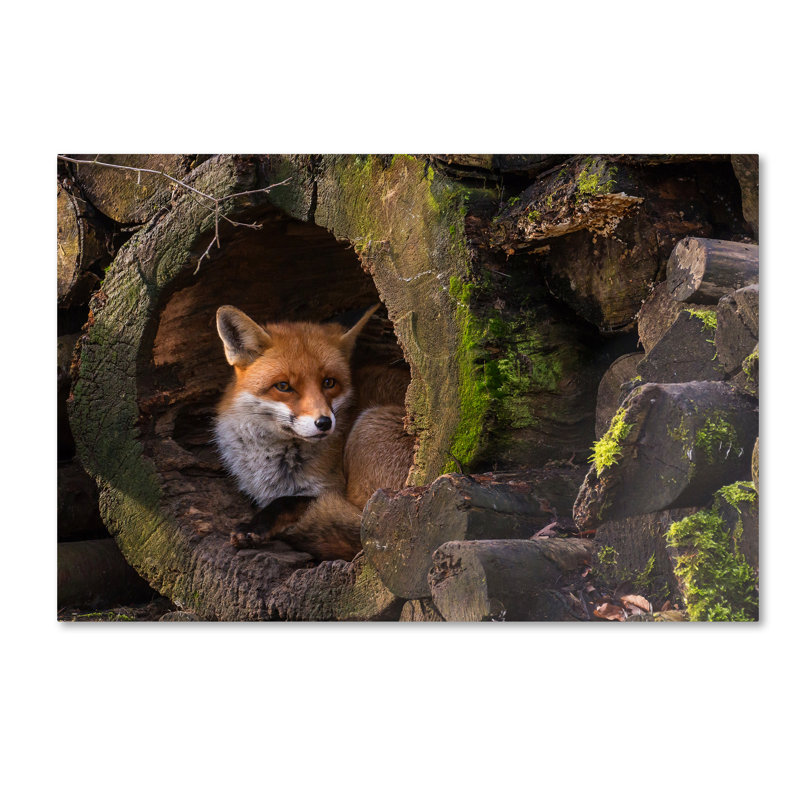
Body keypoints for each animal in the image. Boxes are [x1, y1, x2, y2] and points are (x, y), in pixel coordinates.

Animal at [214, 303, 414, 561]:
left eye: (329, 382)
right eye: (283, 386)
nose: (324, 423)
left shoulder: (329, 489)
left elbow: (287, 502)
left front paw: (254, 526)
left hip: (369, 432)